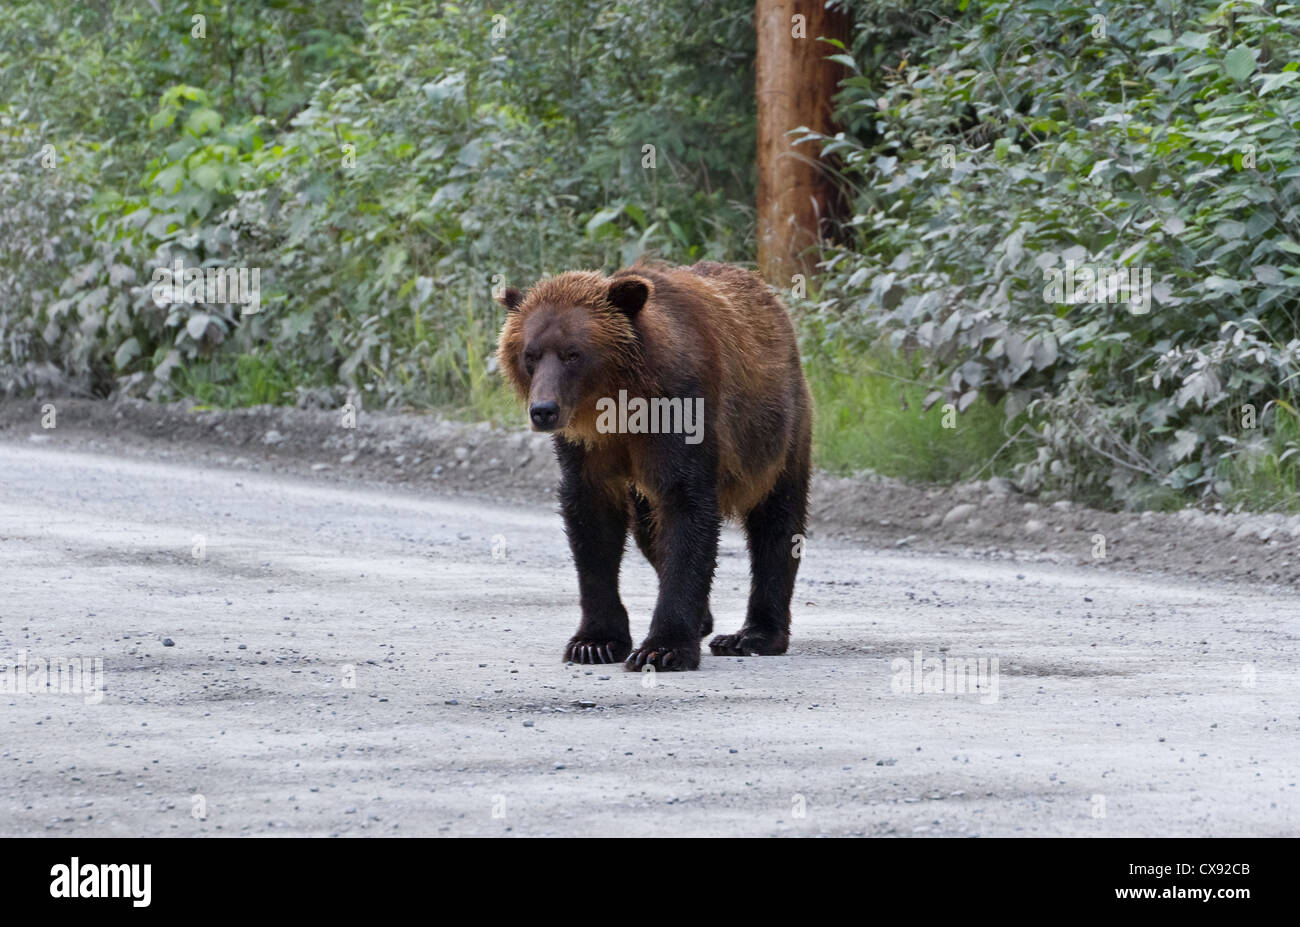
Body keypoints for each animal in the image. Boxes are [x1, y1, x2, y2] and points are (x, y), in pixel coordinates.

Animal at [496, 260, 812, 671]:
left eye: (573, 353)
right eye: (530, 354)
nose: (544, 410)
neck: (619, 406)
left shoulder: (680, 412)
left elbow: (686, 509)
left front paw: (663, 648)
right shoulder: (587, 448)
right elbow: (592, 523)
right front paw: (594, 642)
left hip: (776, 435)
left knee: (776, 524)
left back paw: (753, 634)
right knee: (648, 531)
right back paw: (706, 619)